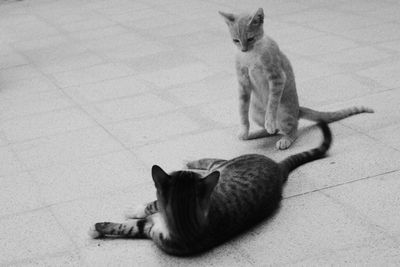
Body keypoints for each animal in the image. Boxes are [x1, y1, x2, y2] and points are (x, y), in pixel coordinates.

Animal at [90, 122, 332, 256]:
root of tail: (278, 167)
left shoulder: (154, 226)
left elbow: (147, 208)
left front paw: (129, 211)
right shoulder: (151, 228)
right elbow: (125, 228)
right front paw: (98, 228)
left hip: (223, 165)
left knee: (210, 161)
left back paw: (190, 161)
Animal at [217, 7, 374, 151]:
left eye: (250, 38)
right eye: (236, 40)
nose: (243, 49)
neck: (251, 56)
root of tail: (298, 109)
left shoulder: (277, 77)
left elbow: (272, 104)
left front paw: (269, 121)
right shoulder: (243, 83)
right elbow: (242, 110)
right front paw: (244, 130)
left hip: (284, 112)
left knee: (292, 129)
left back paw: (285, 138)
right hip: (255, 112)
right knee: (274, 131)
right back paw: (255, 133)